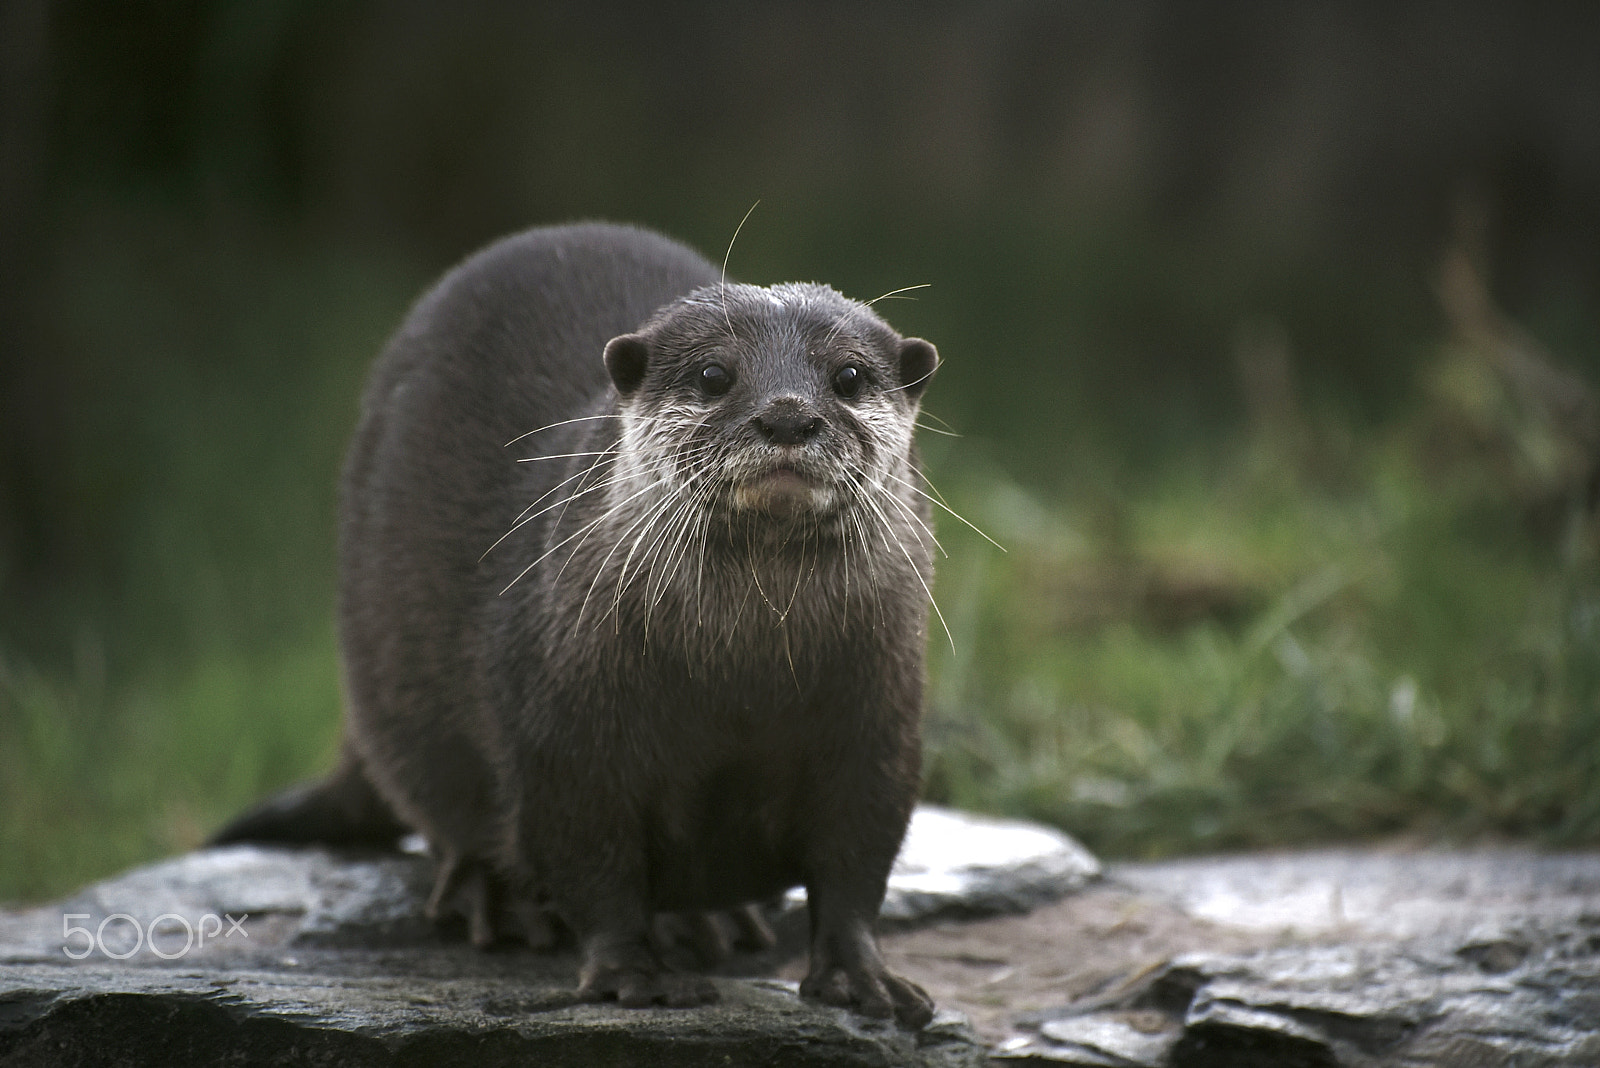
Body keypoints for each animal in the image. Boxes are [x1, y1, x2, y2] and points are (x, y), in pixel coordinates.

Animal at [213, 222, 939, 1027]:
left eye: (848, 377)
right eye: (715, 374)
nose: (786, 415)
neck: (743, 681)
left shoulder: (880, 722)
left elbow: (858, 858)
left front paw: (862, 977)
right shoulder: (566, 726)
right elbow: (589, 854)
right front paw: (633, 974)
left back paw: (713, 920)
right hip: (391, 679)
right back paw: (497, 899)